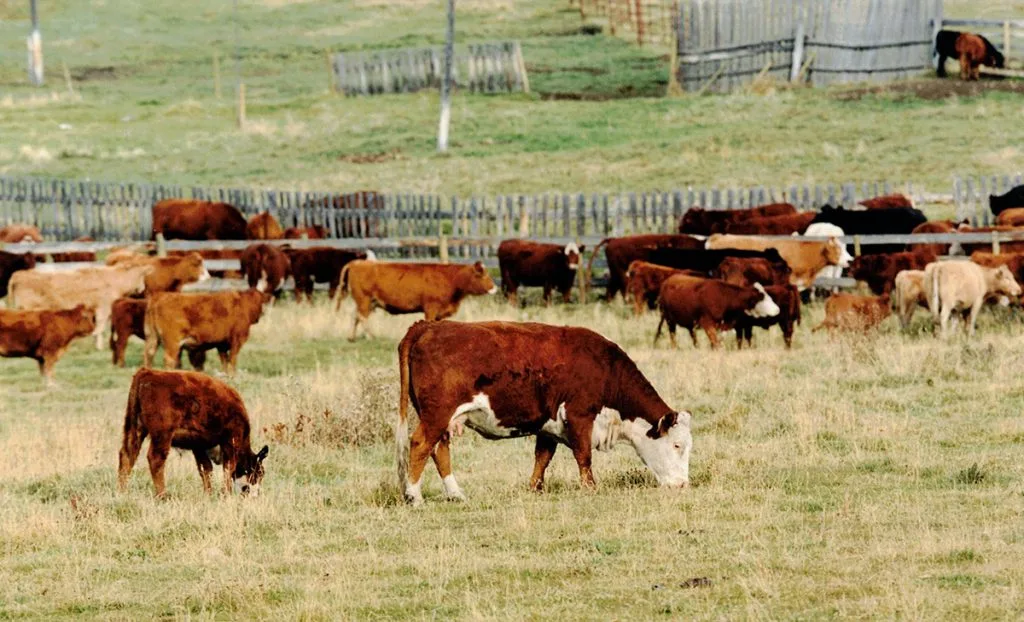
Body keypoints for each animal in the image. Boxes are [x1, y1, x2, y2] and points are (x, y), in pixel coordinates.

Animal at [9, 264, 152, 349]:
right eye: (142, 276)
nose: (142, 288)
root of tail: (19, 274)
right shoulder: (103, 308)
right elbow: (99, 328)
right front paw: (99, 347)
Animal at [118, 368, 268, 498]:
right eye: (259, 473)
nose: (256, 495)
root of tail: (148, 372)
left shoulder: (198, 446)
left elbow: (206, 469)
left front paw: (208, 494)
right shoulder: (230, 440)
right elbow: (228, 468)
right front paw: (225, 494)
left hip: (135, 428)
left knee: (127, 455)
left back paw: (123, 492)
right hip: (162, 435)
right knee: (156, 459)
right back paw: (163, 495)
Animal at [339, 260, 497, 340]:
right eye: (482, 274)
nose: (495, 287)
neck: (450, 278)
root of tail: (356, 263)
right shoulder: (431, 308)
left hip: (367, 302)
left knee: (355, 316)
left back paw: (352, 337)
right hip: (364, 300)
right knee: (362, 317)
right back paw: (370, 336)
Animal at [396, 320, 693, 505]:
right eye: (677, 445)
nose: (683, 485)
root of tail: (428, 325)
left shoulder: (548, 426)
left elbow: (542, 458)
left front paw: (535, 488)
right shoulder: (579, 416)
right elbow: (583, 456)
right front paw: (590, 488)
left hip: (442, 419)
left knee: (439, 449)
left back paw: (455, 493)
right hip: (437, 415)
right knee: (420, 444)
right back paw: (414, 496)